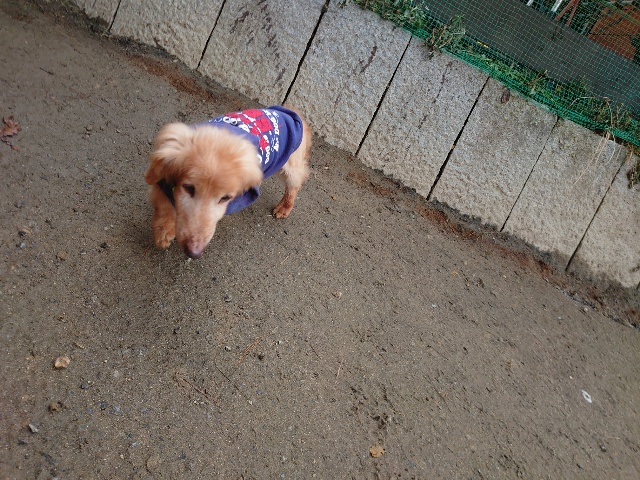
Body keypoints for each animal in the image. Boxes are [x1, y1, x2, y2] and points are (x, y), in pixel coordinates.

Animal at [145, 106, 311, 258]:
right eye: (188, 188)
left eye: (225, 198)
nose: (194, 252)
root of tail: (293, 113)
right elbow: (164, 205)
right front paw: (163, 231)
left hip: (290, 166)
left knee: (295, 184)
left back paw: (284, 207)